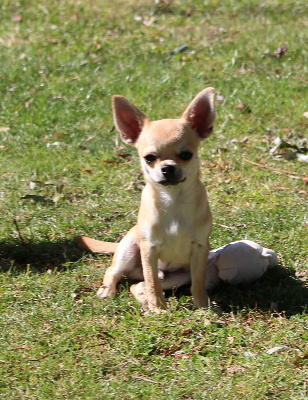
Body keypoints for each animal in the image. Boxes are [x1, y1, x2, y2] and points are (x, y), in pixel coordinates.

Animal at [83, 88, 215, 312]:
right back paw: (110, 291)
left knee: (138, 285)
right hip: (128, 249)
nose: (168, 167)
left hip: (178, 276)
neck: (173, 200)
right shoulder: (149, 249)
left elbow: (198, 282)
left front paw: (203, 307)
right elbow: (153, 281)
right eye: (149, 158)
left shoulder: (199, 249)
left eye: (186, 155)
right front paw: (159, 309)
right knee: (118, 273)